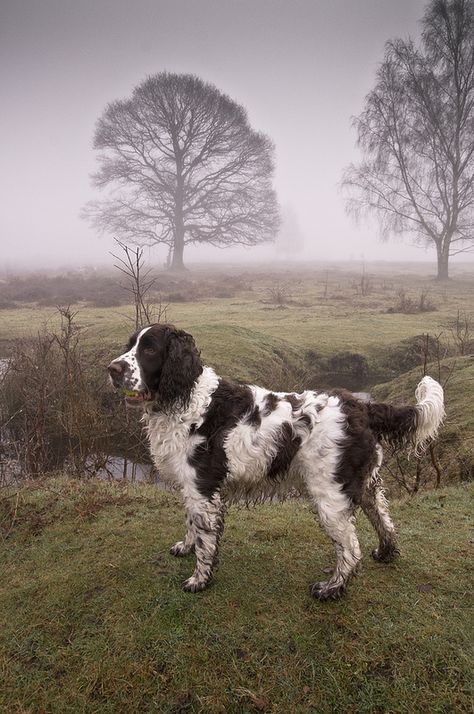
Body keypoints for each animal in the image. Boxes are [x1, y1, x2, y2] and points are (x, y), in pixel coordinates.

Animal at [107, 326, 444, 596]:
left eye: (150, 349)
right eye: (130, 345)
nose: (112, 369)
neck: (186, 400)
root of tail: (360, 406)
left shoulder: (202, 488)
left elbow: (205, 540)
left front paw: (199, 580)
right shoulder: (193, 488)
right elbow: (191, 524)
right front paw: (185, 547)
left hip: (330, 495)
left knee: (350, 547)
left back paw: (332, 588)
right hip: (365, 485)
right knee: (383, 519)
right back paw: (386, 553)